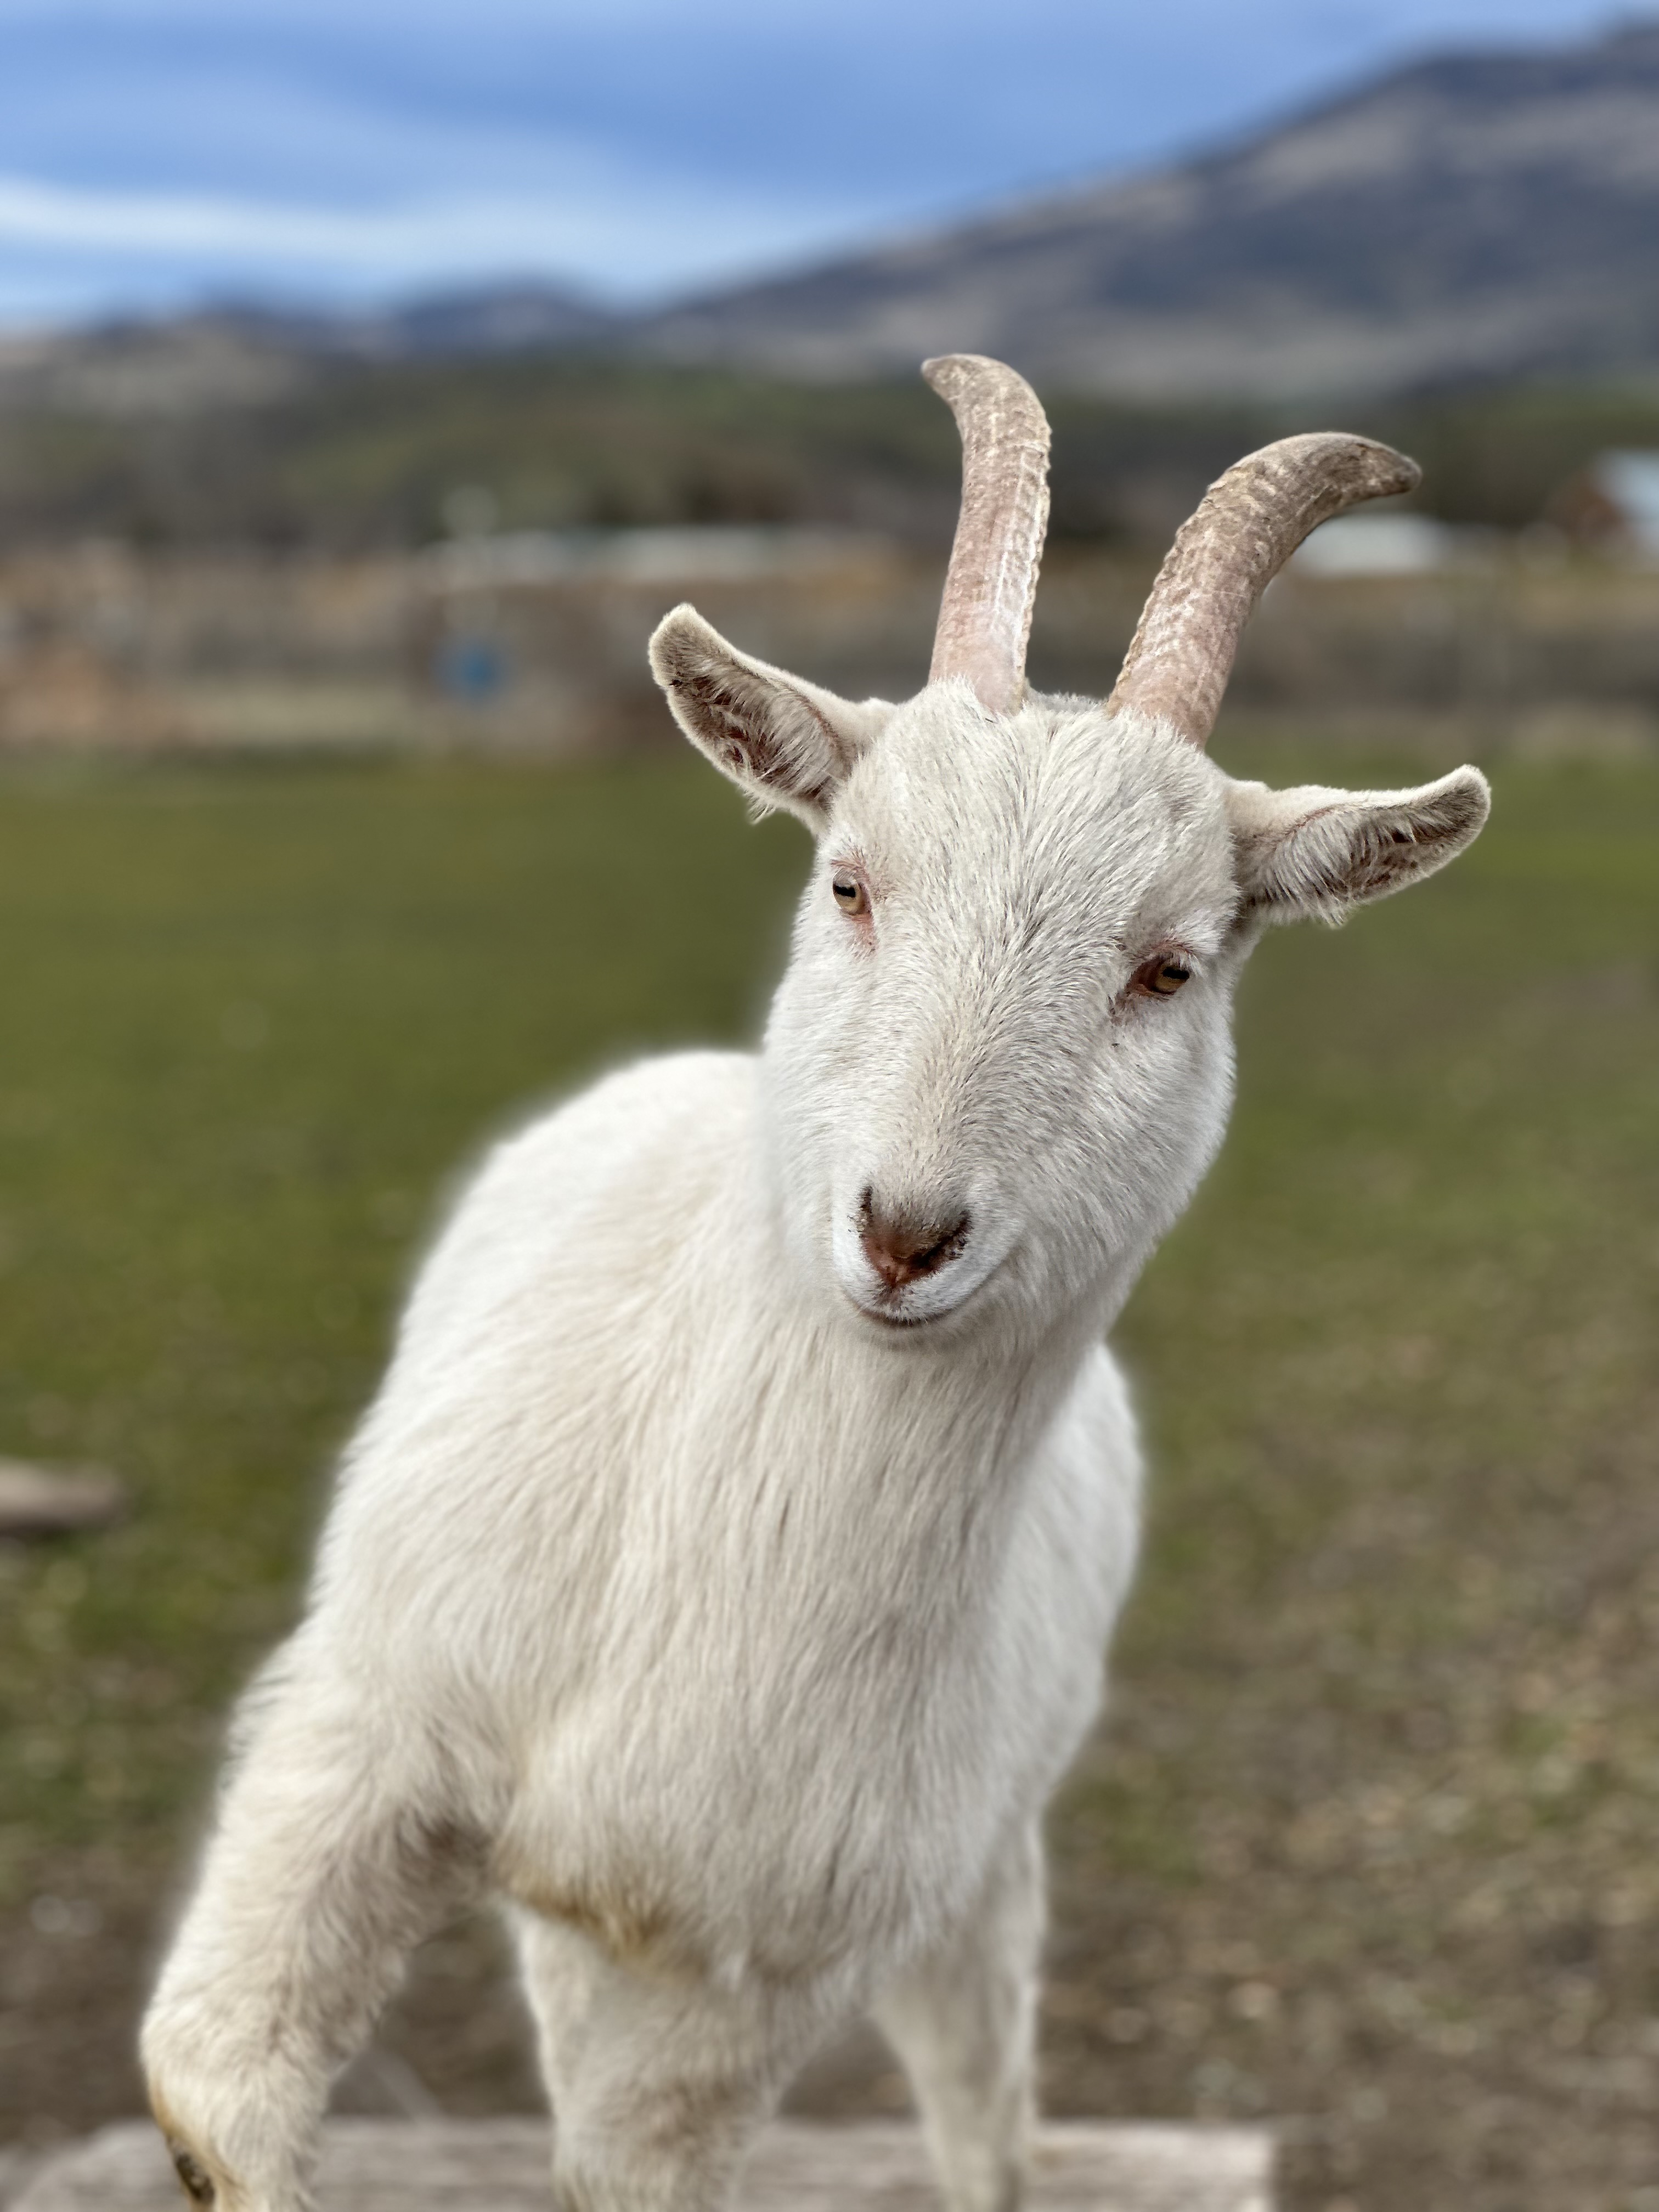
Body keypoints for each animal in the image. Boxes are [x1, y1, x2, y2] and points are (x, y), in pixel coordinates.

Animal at [143, 354, 1495, 2203]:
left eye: (1169, 968)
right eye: (851, 879)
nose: (906, 1234)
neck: (712, 1578)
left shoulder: (746, 1968)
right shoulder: (365, 1730)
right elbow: (217, 2090)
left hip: (963, 1885)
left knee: (982, 2116)